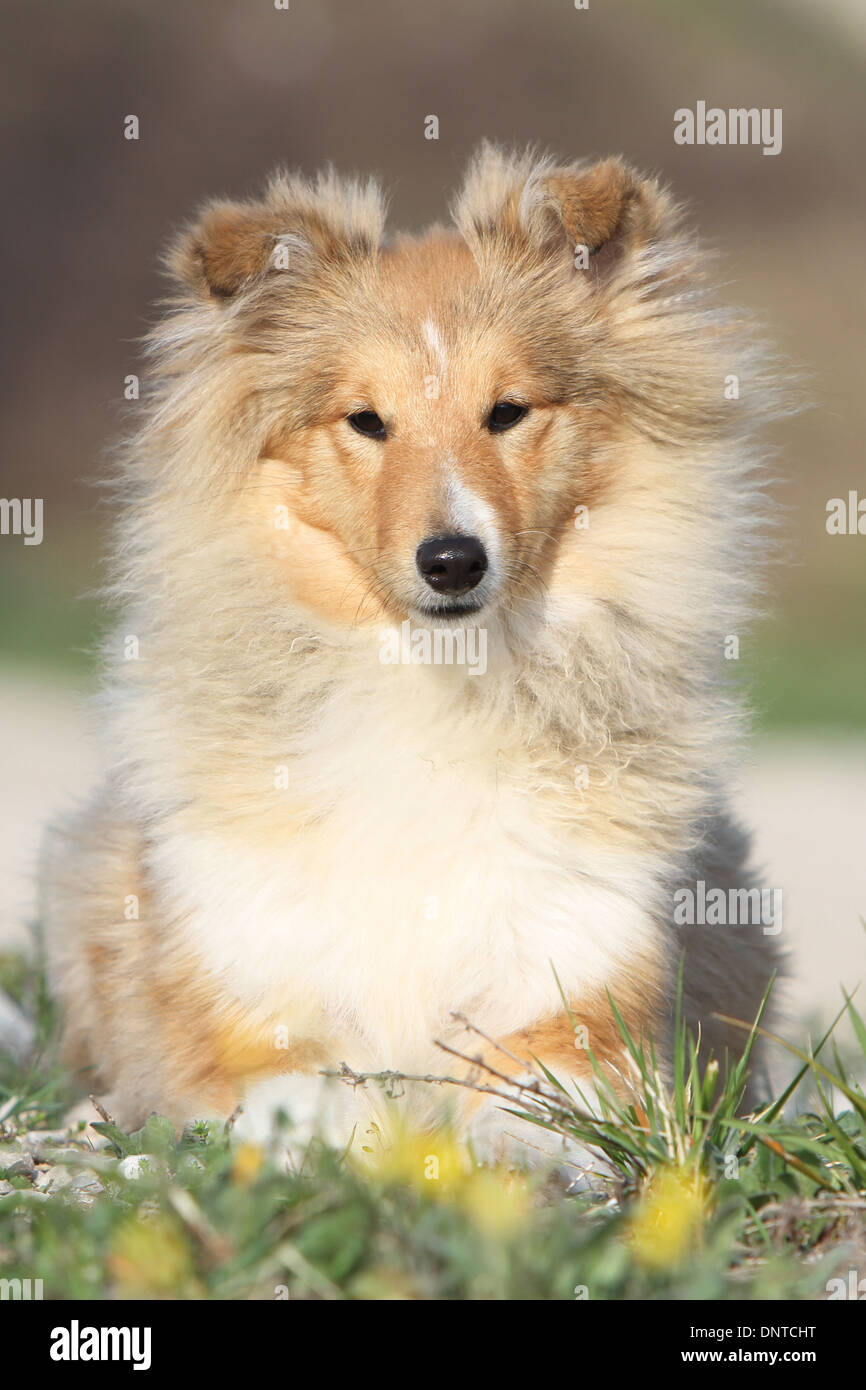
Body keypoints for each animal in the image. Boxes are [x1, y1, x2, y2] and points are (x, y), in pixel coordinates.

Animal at [40, 146, 783, 1167]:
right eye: (365, 421)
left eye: (508, 411)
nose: (453, 561)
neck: (434, 682)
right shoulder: (244, 1022)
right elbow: (323, 1105)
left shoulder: (577, 1005)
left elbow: (536, 1113)